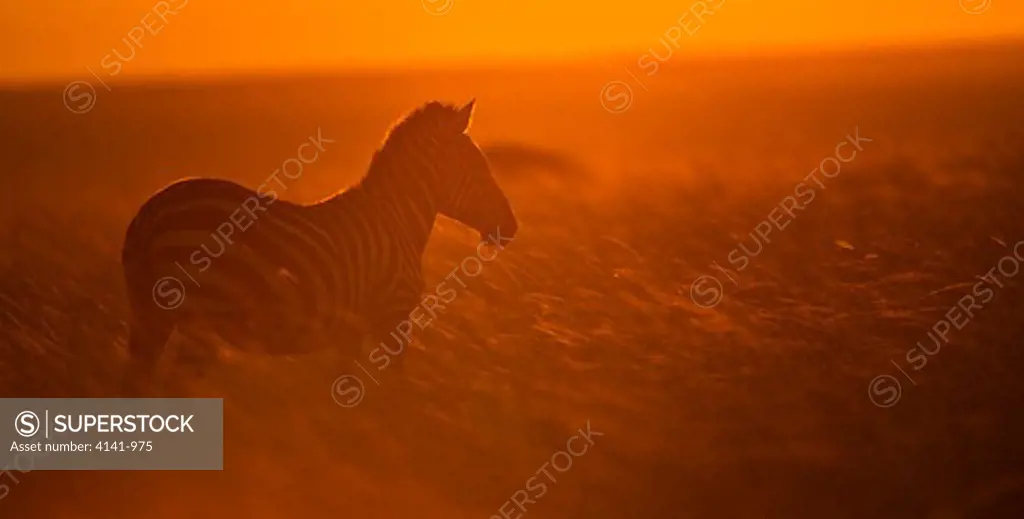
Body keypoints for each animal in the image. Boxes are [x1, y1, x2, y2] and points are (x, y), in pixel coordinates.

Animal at [118, 100, 516, 393]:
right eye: (480, 168)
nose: (511, 227)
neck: (396, 219)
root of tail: (151, 212)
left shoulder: (352, 330)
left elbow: (345, 389)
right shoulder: (393, 315)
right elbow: (390, 393)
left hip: (153, 314)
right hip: (200, 318)